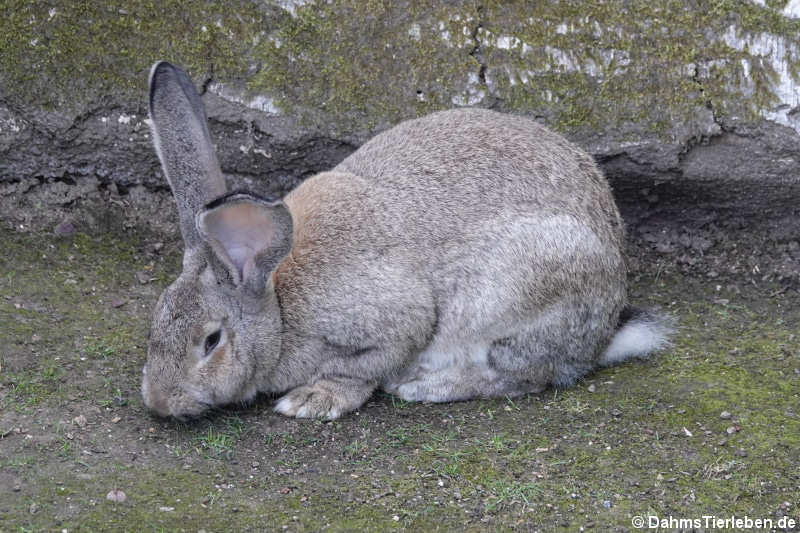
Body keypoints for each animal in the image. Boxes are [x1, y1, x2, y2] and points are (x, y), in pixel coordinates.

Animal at [141, 61, 672, 420]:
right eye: (155, 324)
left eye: (211, 341)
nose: (159, 402)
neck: (278, 304)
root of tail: (606, 329)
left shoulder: (394, 320)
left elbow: (367, 365)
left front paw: (313, 399)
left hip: (521, 297)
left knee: (522, 376)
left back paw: (425, 386)